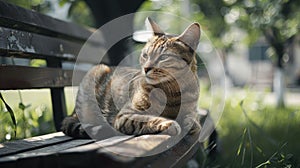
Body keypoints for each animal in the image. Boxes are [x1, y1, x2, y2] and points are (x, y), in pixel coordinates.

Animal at [61, 17, 202, 138]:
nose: (146, 68)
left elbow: (193, 119)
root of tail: (72, 113)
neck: (173, 92)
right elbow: (148, 119)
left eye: (163, 57)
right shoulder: (125, 116)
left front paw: (190, 123)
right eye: (145, 55)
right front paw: (168, 123)